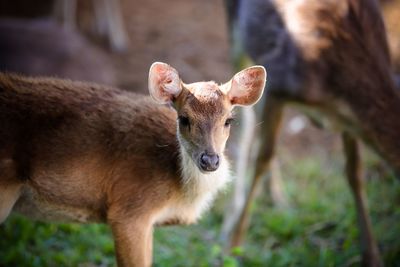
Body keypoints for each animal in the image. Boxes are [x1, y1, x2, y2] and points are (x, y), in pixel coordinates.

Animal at [222, 0, 400, 267]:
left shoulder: (347, 123)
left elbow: (355, 172)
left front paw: (372, 256)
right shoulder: (280, 84)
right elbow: (263, 159)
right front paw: (234, 247)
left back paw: (277, 197)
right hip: (236, 32)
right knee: (246, 121)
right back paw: (230, 218)